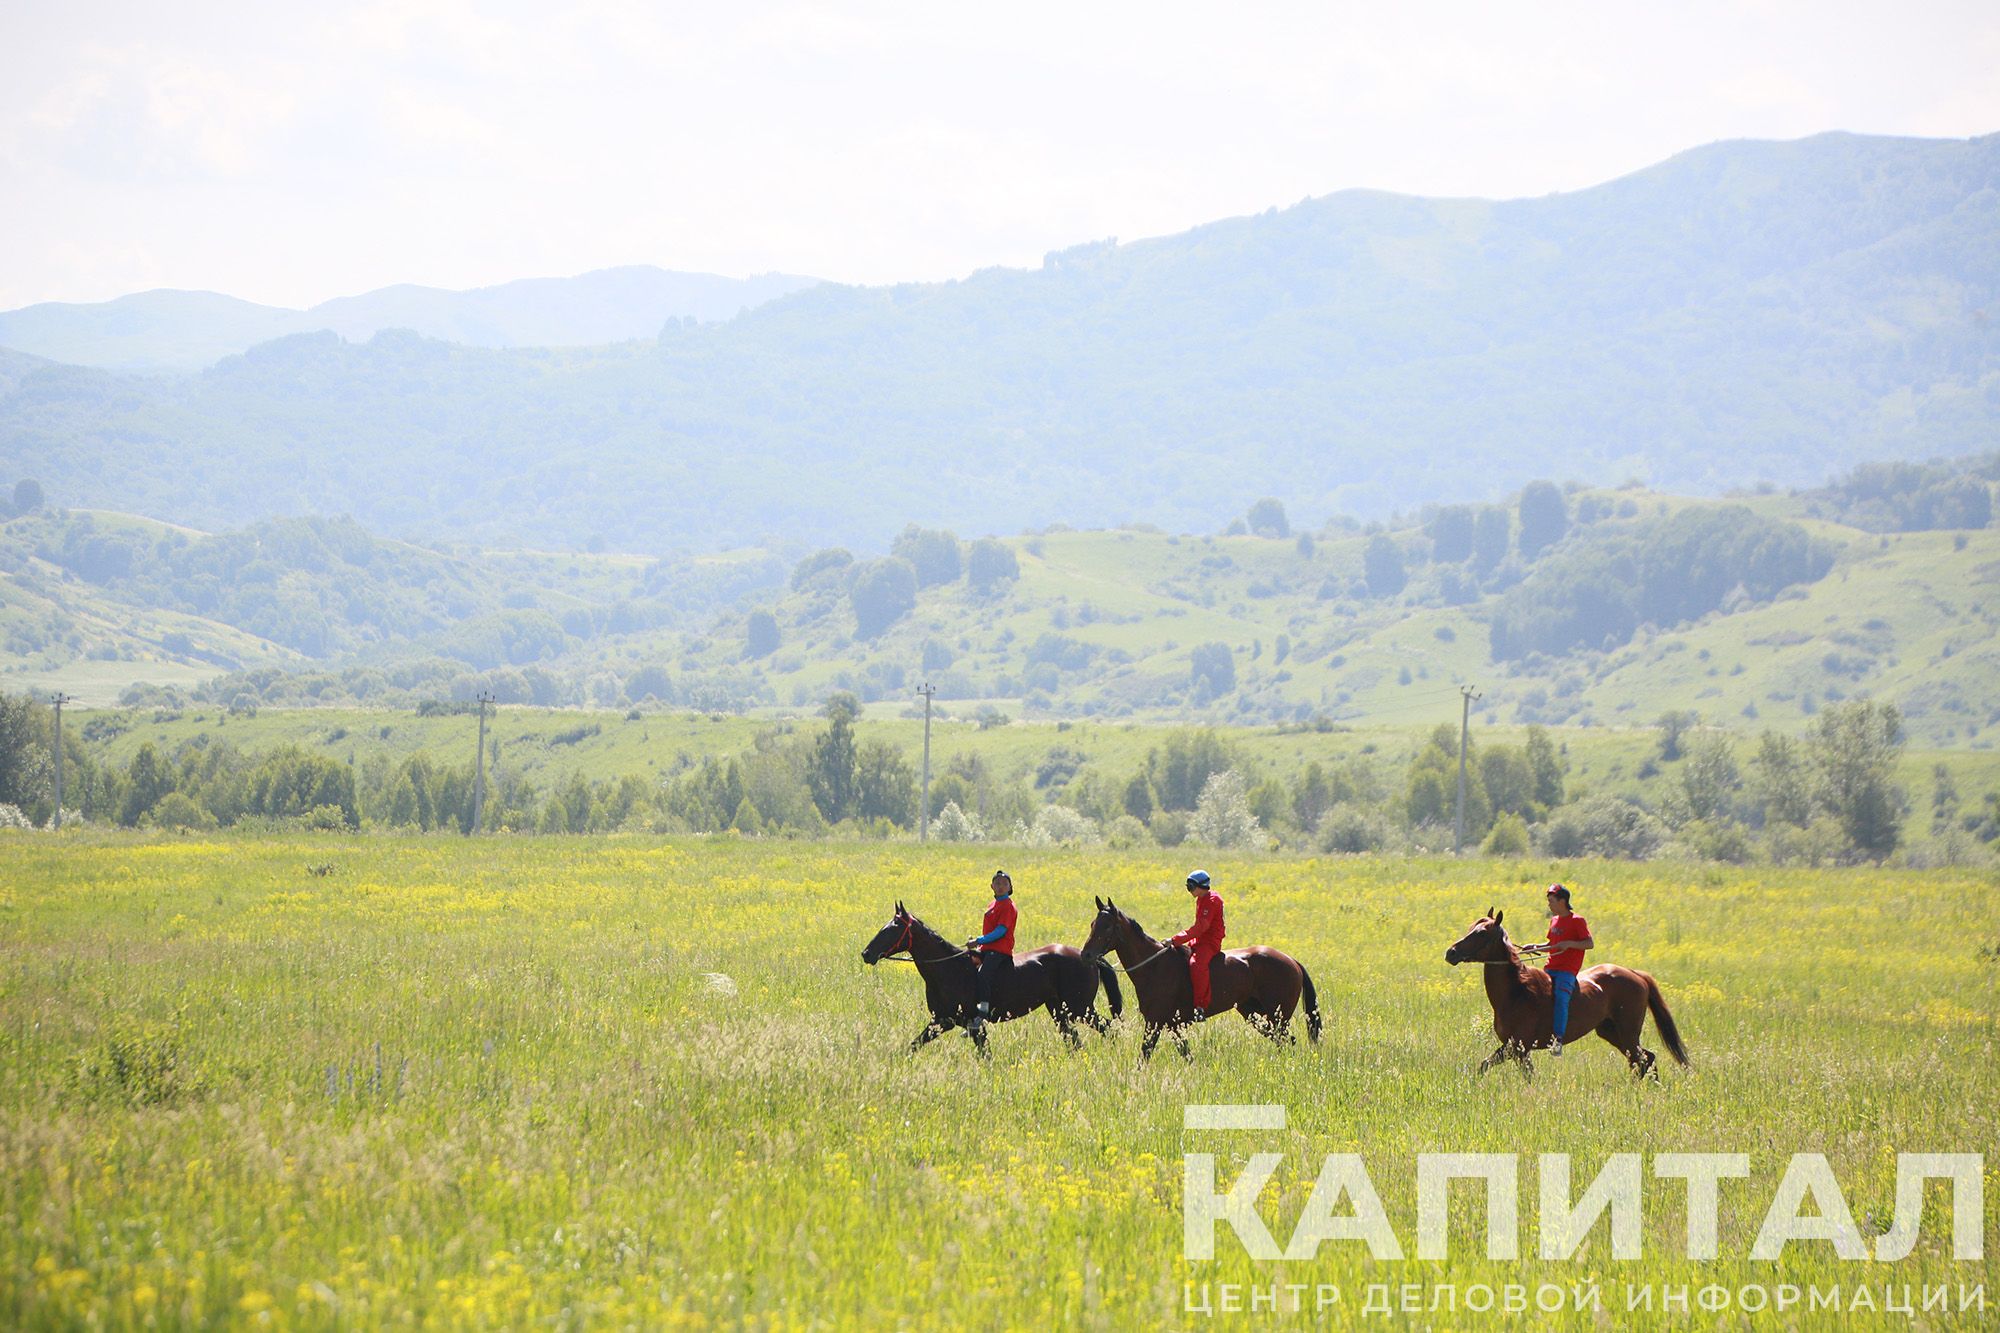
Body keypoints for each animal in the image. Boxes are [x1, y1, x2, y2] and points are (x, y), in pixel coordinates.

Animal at [864, 896, 1128, 1056]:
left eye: (893, 928)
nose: (866, 953)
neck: (948, 969)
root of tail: (1089, 957)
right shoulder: (941, 1021)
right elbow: (913, 1046)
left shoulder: (971, 1025)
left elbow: (985, 1055)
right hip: (1060, 1011)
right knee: (1075, 1039)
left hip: (1079, 1009)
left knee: (1109, 1029)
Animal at [1088, 892, 1320, 1056]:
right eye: (1093, 924)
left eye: (1107, 926)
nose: (1088, 954)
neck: (1154, 965)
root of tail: (1292, 961)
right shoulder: (1171, 1025)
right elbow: (1185, 1053)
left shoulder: (1155, 1022)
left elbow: (1145, 1053)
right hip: (1254, 1012)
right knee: (1281, 1039)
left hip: (1278, 1015)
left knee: (1286, 1039)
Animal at [1440, 904, 1688, 1080]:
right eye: (1471, 928)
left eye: (1482, 933)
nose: (1451, 952)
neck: (1516, 992)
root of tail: (1636, 974)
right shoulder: (1515, 1048)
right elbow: (1486, 1066)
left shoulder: (1518, 1046)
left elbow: (1519, 1073)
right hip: (1610, 1032)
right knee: (1644, 1059)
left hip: (1627, 1031)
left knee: (1642, 1059)